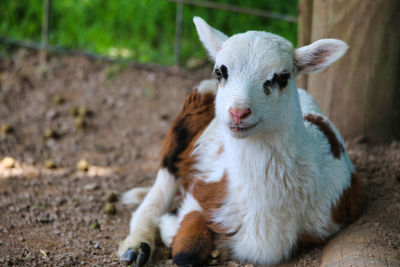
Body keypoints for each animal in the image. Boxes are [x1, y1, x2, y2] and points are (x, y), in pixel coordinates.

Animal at [117, 17, 364, 267]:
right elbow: (187, 252)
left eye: (282, 77)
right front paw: (172, 228)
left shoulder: (331, 217)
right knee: (160, 189)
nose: (238, 113)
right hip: (187, 117)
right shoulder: (201, 191)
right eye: (220, 72)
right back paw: (135, 247)